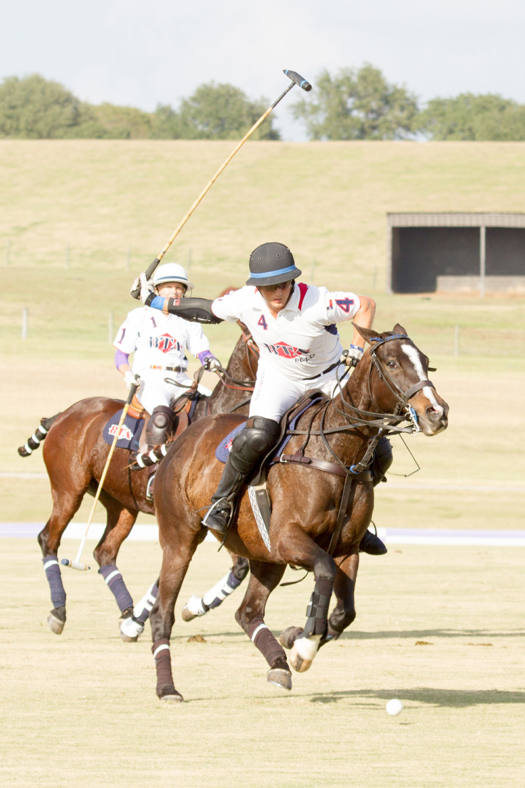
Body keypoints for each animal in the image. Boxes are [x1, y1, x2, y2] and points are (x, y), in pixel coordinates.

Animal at [20, 326, 258, 636]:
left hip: (121, 503)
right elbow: (234, 565)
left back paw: (127, 611)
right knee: (49, 538)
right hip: (68, 489)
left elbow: (228, 568)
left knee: (104, 552)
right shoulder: (201, 517)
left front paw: (174, 612)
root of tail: (64, 414)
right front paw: (181, 610)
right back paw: (58, 611)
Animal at [146, 326, 446, 700]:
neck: (338, 452)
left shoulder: (346, 548)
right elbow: (324, 569)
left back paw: (278, 664)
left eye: (426, 361)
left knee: (248, 612)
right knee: (163, 614)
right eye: (392, 363)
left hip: (264, 555)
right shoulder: (288, 538)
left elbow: (345, 612)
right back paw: (167, 687)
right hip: (180, 540)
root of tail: (181, 440)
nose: (437, 412)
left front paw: (297, 637)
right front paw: (304, 645)